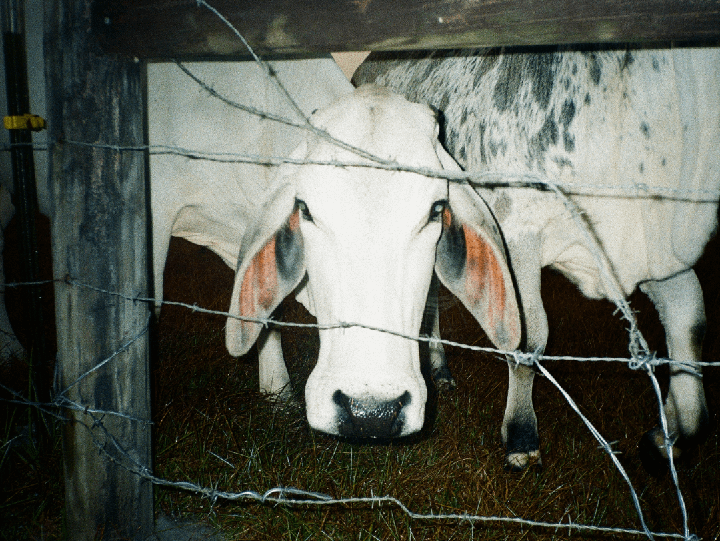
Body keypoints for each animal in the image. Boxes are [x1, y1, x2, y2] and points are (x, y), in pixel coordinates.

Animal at [351, 47, 720, 470]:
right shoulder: (517, 235)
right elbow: (528, 339)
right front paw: (522, 437)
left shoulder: (662, 256)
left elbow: (691, 329)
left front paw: (667, 438)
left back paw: (440, 370)